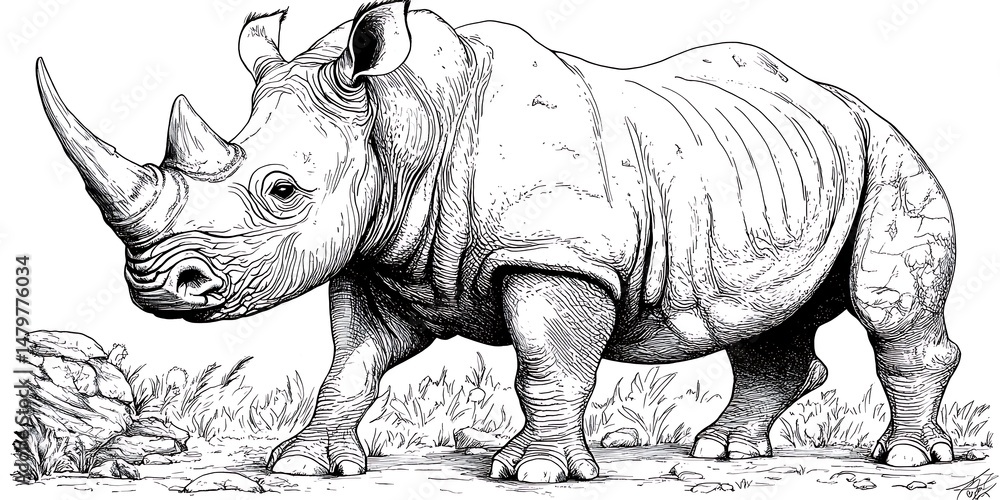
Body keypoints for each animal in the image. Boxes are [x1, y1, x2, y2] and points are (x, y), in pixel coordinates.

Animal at [38, 1, 959, 482]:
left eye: (281, 191)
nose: (157, 288)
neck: (402, 118)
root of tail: (848, 101)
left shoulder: (559, 255)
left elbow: (548, 364)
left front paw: (538, 472)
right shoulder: (377, 251)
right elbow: (352, 363)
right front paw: (304, 463)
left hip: (890, 151)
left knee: (888, 305)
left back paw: (907, 459)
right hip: (778, 168)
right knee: (765, 319)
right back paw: (723, 450)